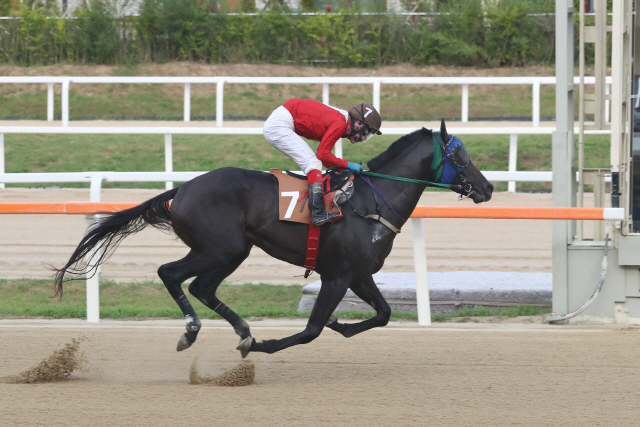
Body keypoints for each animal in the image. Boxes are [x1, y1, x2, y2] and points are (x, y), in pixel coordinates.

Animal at [55, 120, 496, 358]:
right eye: (461, 155)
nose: (488, 187)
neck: (371, 201)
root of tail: (181, 190)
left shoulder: (359, 274)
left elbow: (384, 313)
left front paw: (340, 324)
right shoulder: (337, 276)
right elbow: (311, 330)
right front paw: (265, 346)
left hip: (233, 251)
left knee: (201, 286)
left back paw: (241, 329)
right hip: (220, 247)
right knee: (170, 273)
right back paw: (195, 331)